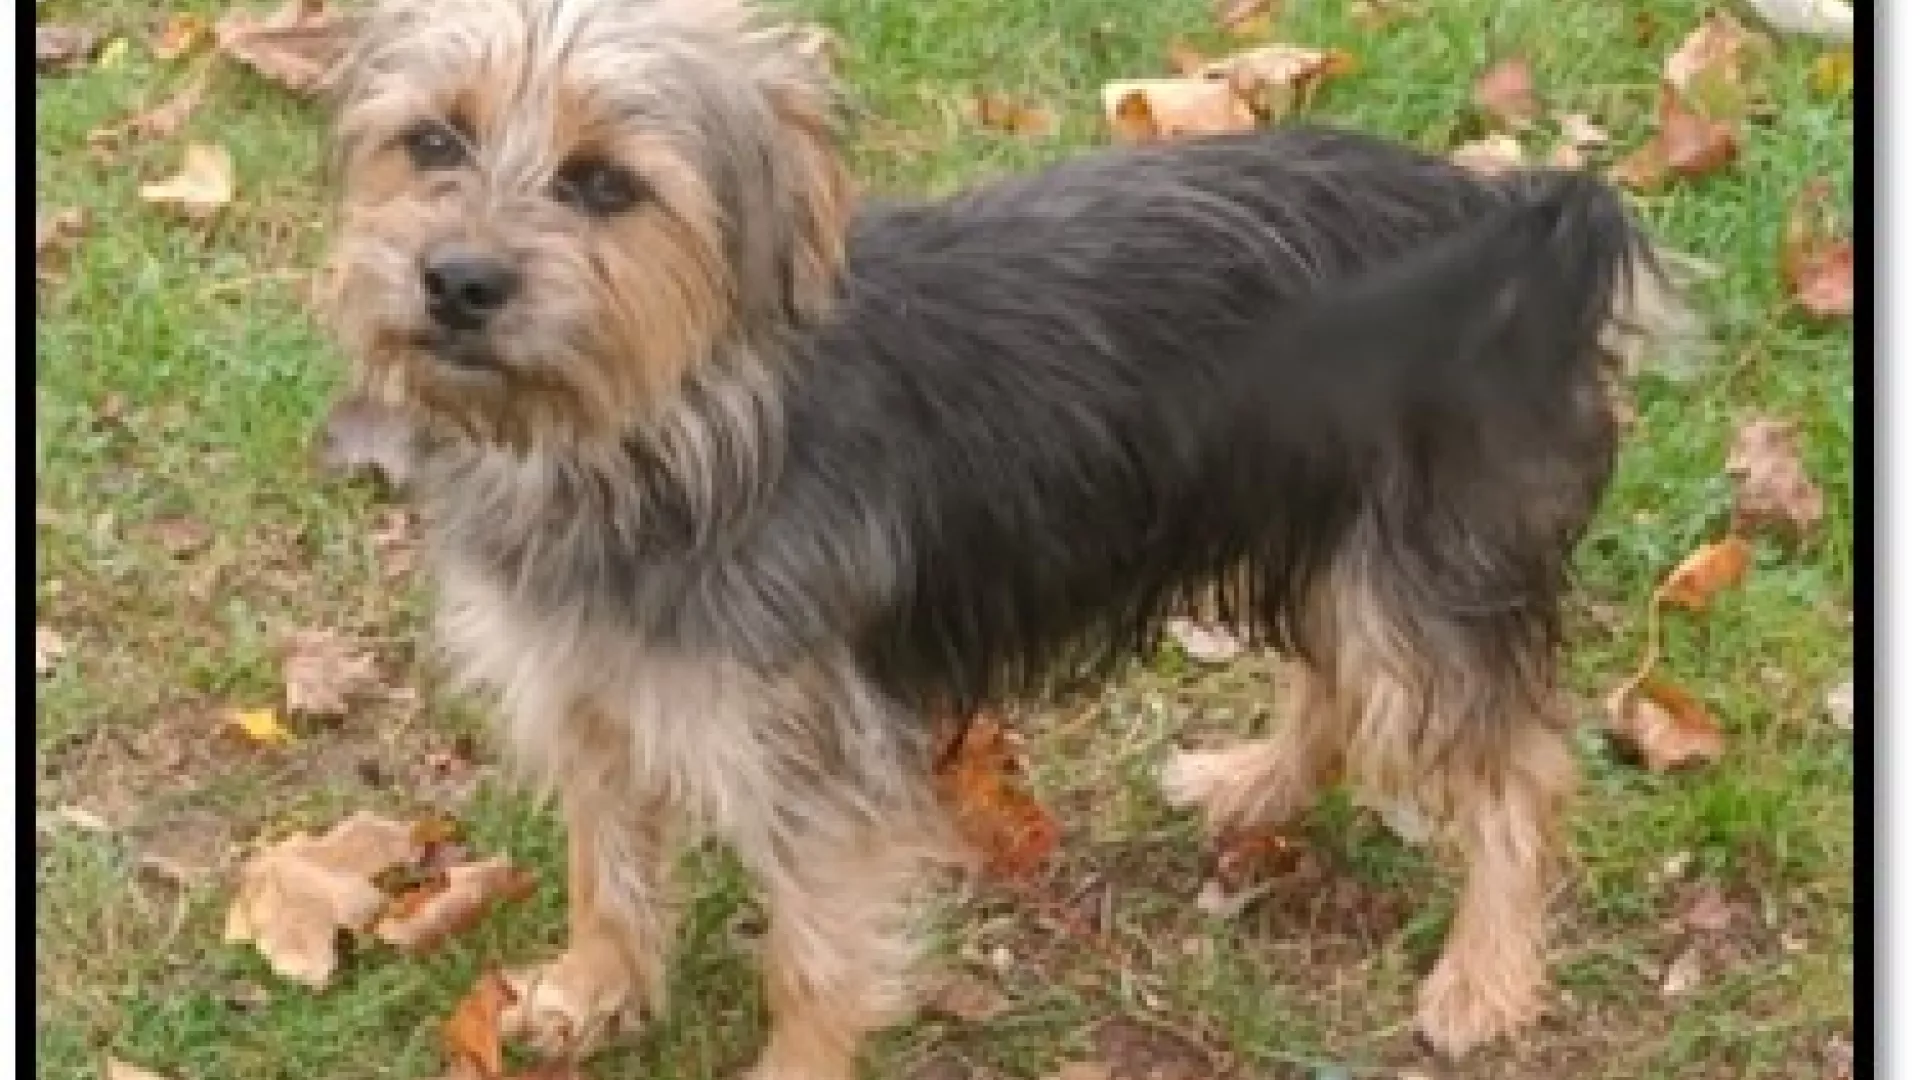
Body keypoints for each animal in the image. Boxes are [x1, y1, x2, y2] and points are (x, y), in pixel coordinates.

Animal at [319, 0, 1691, 1073]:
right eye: (432, 140)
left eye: (605, 182)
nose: (457, 280)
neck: (668, 428)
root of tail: (1522, 219)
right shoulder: (590, 688)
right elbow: (604, 861)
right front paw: (593, 988)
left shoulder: (816, 758)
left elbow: (815, 954)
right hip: (1330, 525)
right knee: (1339, 687)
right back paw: (1253, 784)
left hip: (1422, 564)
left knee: (1516, 765)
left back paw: (1485, 975)